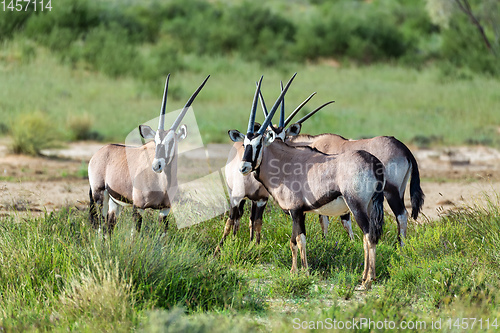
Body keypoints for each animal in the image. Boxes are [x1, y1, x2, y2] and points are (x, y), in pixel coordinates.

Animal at [88, 74, 209, 232]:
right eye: (155, 141)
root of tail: (99, 152)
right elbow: (135, 234)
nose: (156, 166)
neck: (162, 184)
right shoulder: (138, 207)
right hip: (99, 196)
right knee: (100, 227)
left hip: (115, 202)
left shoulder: (165, 209)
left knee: (109, 226)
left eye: (171, 141)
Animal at [229, 75, 384, 288]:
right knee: (371, 236)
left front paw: (303, 272)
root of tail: (372, 161)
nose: (244, 167)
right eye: (245, 144)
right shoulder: (300, 212)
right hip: (368, 206)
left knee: (368, 235)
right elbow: (295, 241)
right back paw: (367, 276)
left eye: (259, 144)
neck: (284, 162)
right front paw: (297, 271)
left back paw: (368, 279)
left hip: (356, 206)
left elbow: (299, 240)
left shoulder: (295, 211)